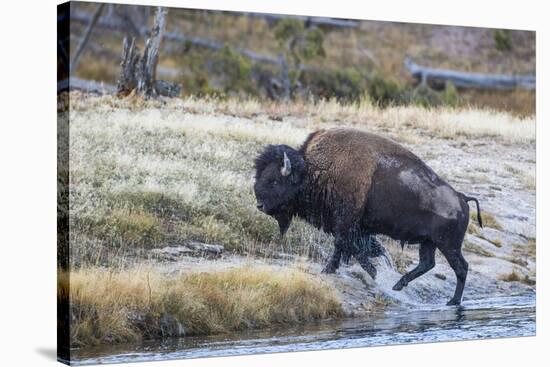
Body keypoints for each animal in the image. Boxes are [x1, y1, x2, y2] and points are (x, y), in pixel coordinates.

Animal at [254, 128, 484, 306]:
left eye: (274, 180)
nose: (260, 205)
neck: (314, 170)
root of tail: (462, 198)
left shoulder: (346, 224)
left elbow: (348, 248)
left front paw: (370, 273)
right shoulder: (350, 227)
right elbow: (350, 248)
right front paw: (332, 269)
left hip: (448, 245)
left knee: (460, 268)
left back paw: (452, 301)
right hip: (429, 242)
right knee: (428, 263)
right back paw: (399, 285)